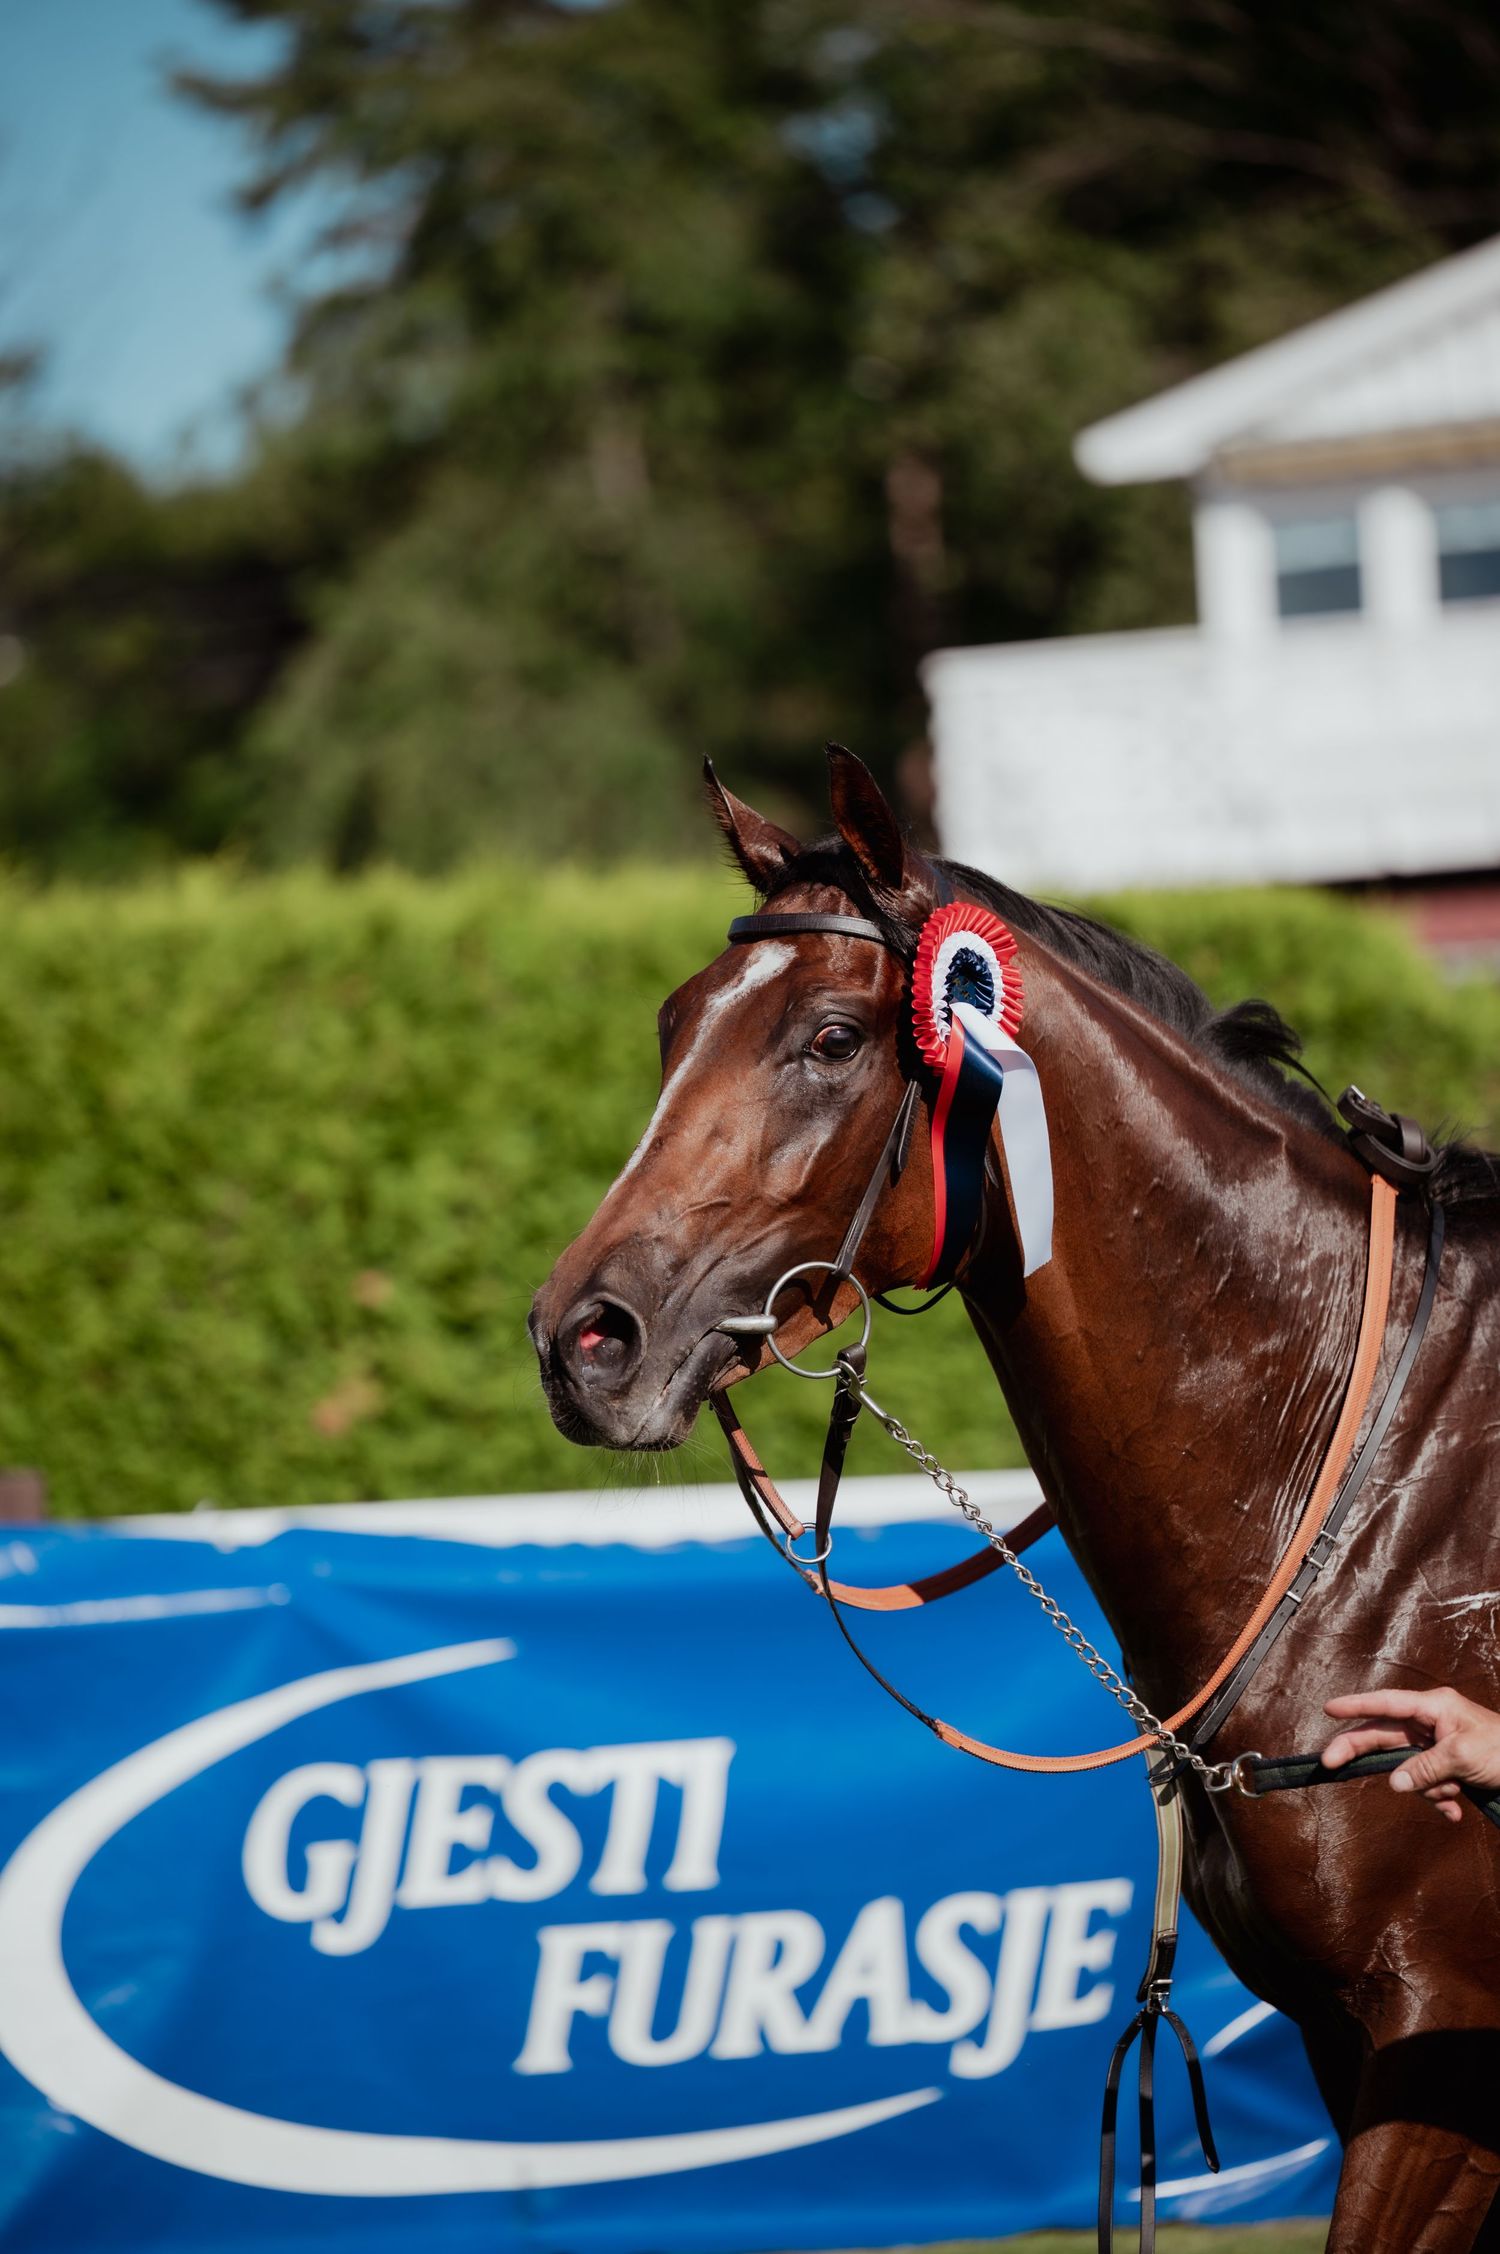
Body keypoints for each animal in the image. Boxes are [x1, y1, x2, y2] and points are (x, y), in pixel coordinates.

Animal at [530, 746, 1500, 2252]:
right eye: (674, 1020)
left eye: (833, 1038)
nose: (583, 1337)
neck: (1379, 1494)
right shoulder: (1352, 2043)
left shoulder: (1442, 2036)